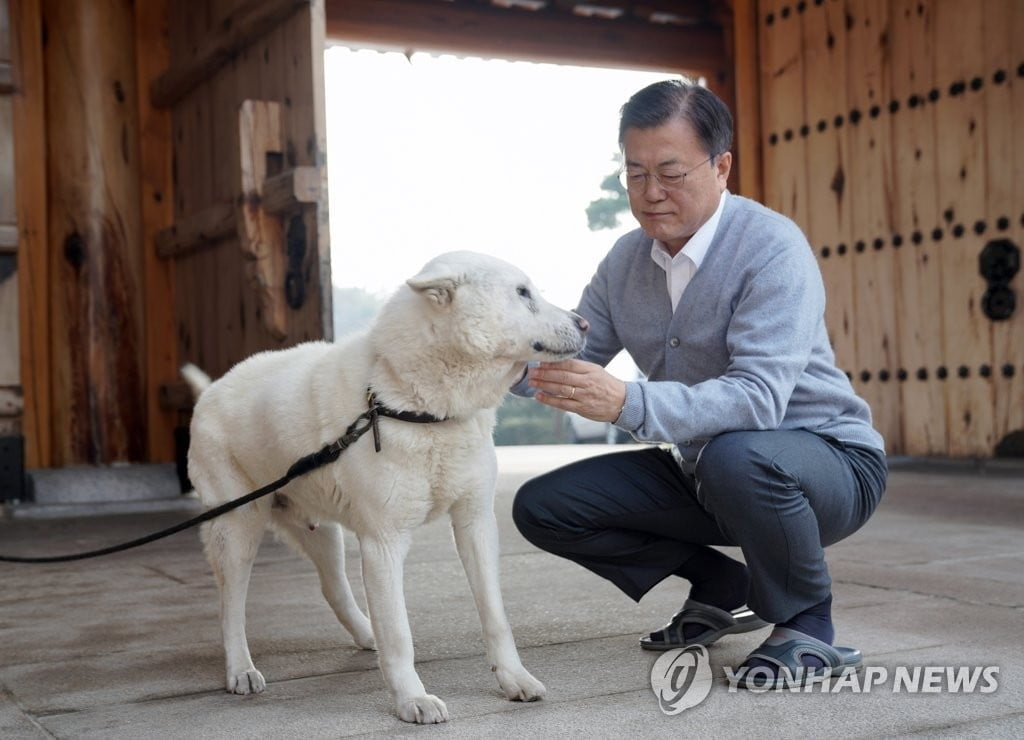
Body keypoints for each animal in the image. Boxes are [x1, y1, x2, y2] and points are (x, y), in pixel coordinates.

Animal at [181, 250, 589, 724]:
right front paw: (412, 700)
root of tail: (211, 389)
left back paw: (365, 634)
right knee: (230, 606)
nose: (584, 324)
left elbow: (495, 615)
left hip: (322, 533)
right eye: (523, 293)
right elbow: (399, 634)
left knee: (334, 589)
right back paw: (241, 670)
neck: (412, 405)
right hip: (237, 530)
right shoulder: (383, 543)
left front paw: (514, 679)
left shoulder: (476, 524)